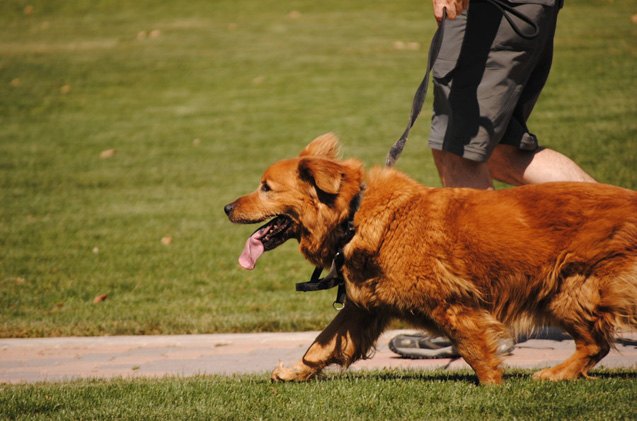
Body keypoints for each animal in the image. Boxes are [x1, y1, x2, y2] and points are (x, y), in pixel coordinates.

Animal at [225, 133, 636, 382]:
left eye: (265, 188)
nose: (227, 207)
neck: (354, 216)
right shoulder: (363, 308)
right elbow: (321, 345)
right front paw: (293, 372)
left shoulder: (452, 302)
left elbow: (474, 349)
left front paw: (494, 387)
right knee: (596, 343)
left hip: (569, 288)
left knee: (595, 342)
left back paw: (554, 374)